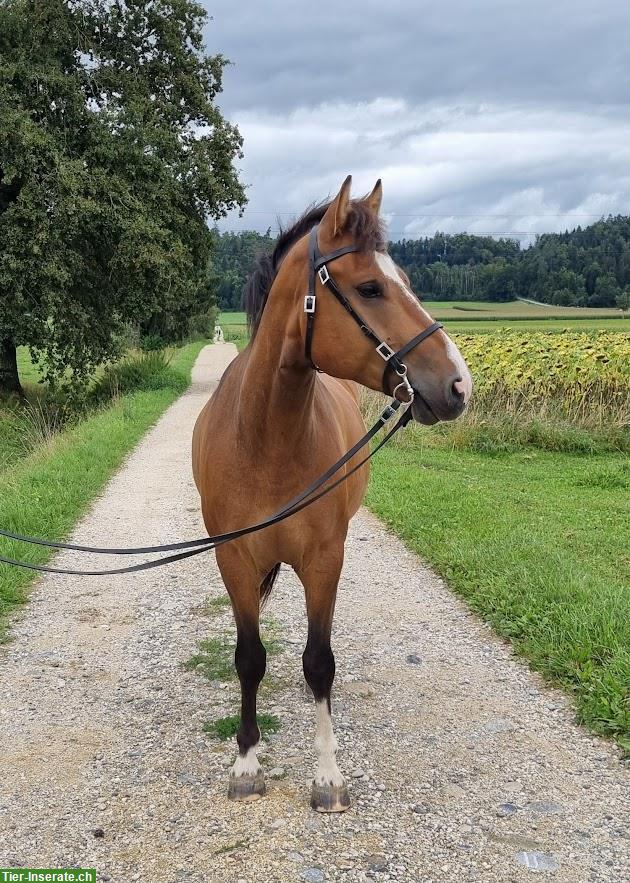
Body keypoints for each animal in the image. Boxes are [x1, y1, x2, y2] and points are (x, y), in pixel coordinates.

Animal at [194, 178, 474, 816]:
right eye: (370, 287)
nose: (458, 385)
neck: (266, 440)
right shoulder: (234, 561)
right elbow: (249, 658)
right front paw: (246, 763)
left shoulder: (324, 560)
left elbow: (320, 662)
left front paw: (326, 775)